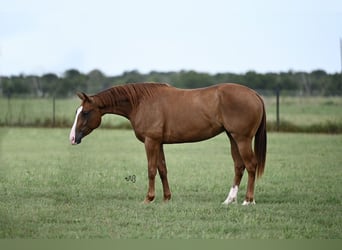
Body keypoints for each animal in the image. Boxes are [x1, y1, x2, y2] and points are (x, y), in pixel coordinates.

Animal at [70, 83, 268, 204]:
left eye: (85, 112)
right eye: (78, 111)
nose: (72, 138)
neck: (140, 102)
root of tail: (254, 94)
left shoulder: (150, 142)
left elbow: (151, 170)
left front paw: (148, 198)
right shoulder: (159, 143)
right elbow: (162, 169)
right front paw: (166, 198)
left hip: (242, 139)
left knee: (251, 165)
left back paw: (248, 200)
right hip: (233, 138)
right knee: (239, 166)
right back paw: (229, 200)